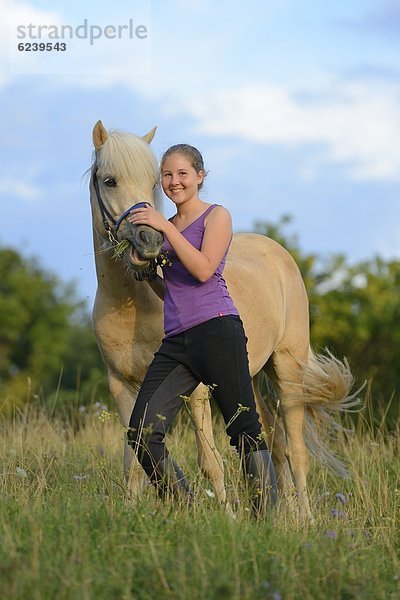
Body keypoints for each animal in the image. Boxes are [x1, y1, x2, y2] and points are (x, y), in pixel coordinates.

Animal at [88, 119, 360, 516]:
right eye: (110, 180)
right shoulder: (122, 386)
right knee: (270, 442)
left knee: (295, 450)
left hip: (287, 370)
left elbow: (210, 460)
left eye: (154, 181)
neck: (132, 303)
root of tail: (279, 254)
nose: (148, 241)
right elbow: (133, 458)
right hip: (250, 376)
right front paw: (128, 511)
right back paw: (279, 512)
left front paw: (228, 516)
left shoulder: (198, 389)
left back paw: (304, 519)